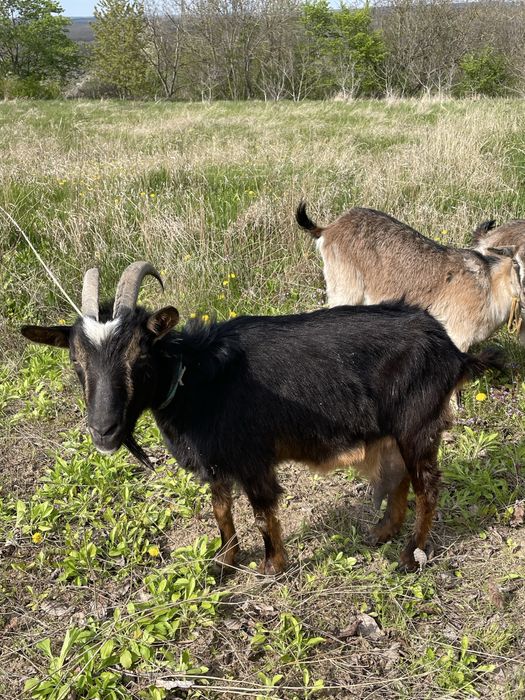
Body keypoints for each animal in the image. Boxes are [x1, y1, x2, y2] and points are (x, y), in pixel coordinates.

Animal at [21, 262, 501, 574]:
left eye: (139, 358)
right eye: (77, 362)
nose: (103, 431)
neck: (196, 377)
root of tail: (451, 349)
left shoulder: (253, 458)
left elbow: (260, 511)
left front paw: (272, 566)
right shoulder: (216, 461)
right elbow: (221, 510)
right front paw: (223, 562)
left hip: (418, 425)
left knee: (428, 486)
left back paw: (410, 555)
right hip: (392, 431)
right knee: (399, 476)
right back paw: (382, 532)